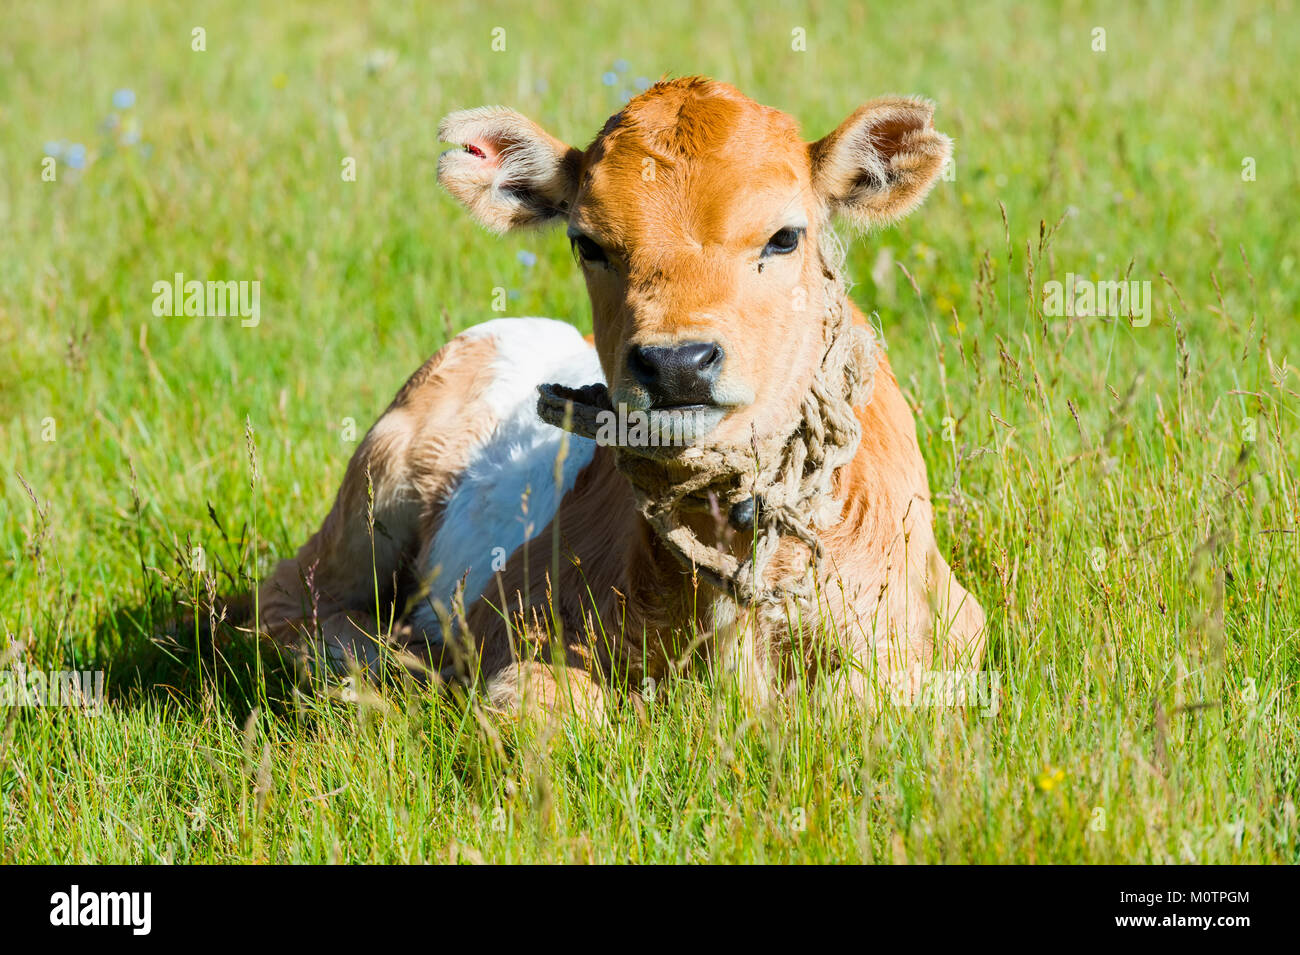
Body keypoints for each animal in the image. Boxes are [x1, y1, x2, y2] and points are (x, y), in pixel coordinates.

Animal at [253, 76, 982, 717]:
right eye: (587, 243)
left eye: (784, 236)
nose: (676, 363)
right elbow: (542, 705)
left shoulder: (954, 629)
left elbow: (856, 698)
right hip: (374, 493)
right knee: (288, 604)